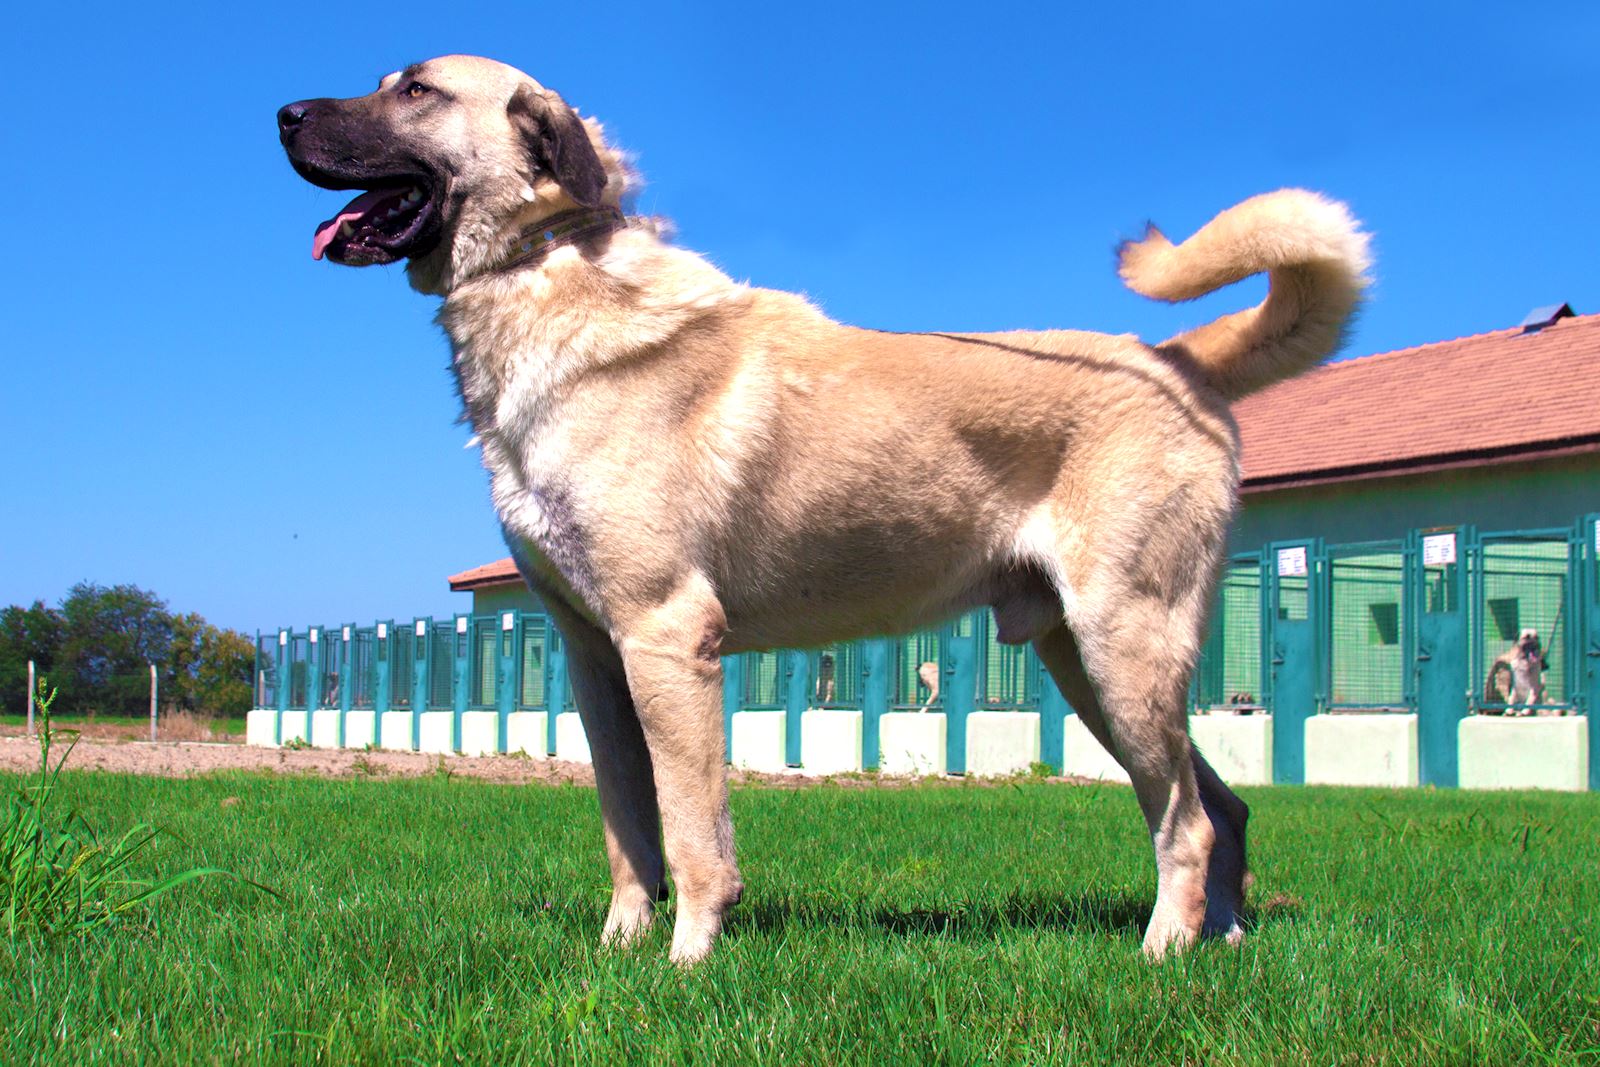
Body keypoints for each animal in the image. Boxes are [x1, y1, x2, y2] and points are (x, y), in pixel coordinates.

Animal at [278, 54, 1376, 966]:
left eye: (417, 89)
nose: (281, 113)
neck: (543, 271)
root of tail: (1176, 361)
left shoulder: (668, 638)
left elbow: (692, 827)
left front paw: (685, 962)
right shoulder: (595, 655)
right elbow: (628, 826)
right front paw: (619, 948)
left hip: (1123, 648)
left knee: (1186, 819)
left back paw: (1161, 953)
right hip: (1090, 665)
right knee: (1222, 807)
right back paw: (1220, 940)